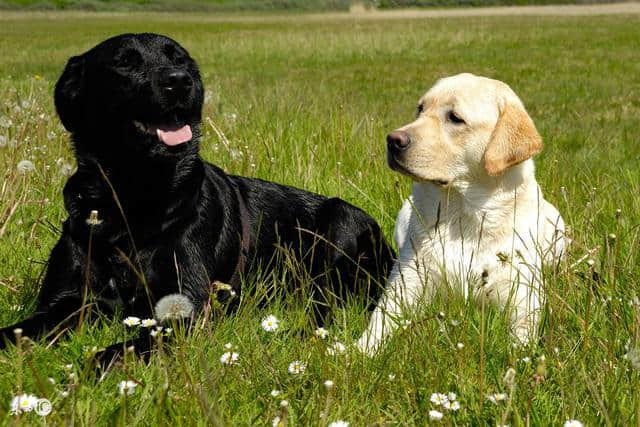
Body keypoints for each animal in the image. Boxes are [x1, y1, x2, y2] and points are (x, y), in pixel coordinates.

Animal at [0, 32, 396, 362]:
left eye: (181, 60)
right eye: (125, 62)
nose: (179, 80)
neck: (132, 201)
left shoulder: (183, 313)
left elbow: (116, 351)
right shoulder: (64, 302)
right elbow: (17, 329)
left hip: (340, 220)